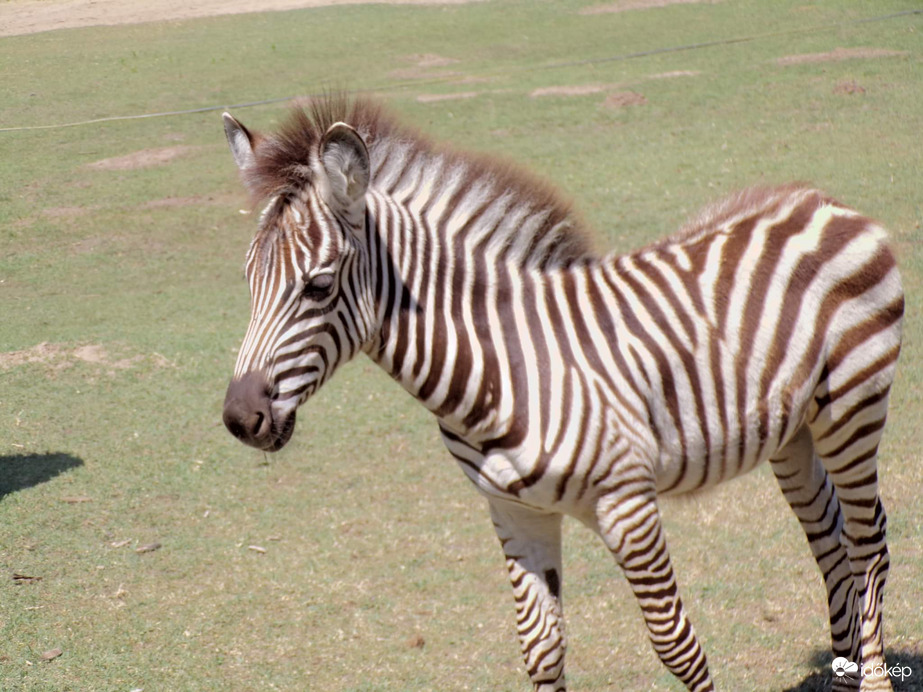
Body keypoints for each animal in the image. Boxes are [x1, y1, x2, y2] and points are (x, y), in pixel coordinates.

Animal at [220, 95, 902, 691]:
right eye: (248, 278)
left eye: (317, 286)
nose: (238, 418)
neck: (501, 364)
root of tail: (822, 201)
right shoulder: (514, 511)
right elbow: (541, 649)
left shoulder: (627, 504)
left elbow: (675, 645)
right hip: (793, 430)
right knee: (831, 539)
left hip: (852, 408)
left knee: (867, 542)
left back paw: (871, 678)